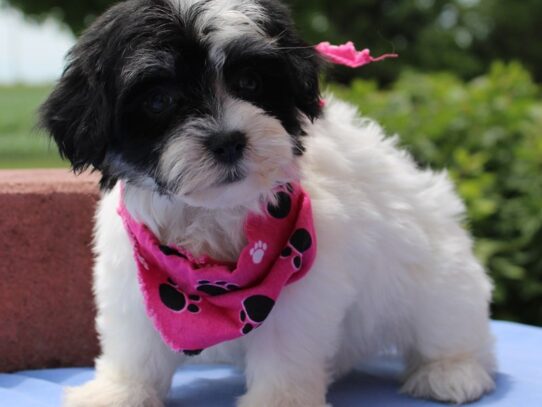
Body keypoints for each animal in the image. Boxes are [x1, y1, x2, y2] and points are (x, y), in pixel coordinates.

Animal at [40, 0, 500, 407]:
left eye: (249, 82)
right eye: (158, 101)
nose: (228, 140)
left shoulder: (301, 287)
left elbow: (286, 350)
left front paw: (281, 401)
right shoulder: (138, 272)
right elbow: (135, 346)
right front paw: (118, 394)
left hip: (439, 282)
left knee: (450, 326)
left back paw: (451, 371)